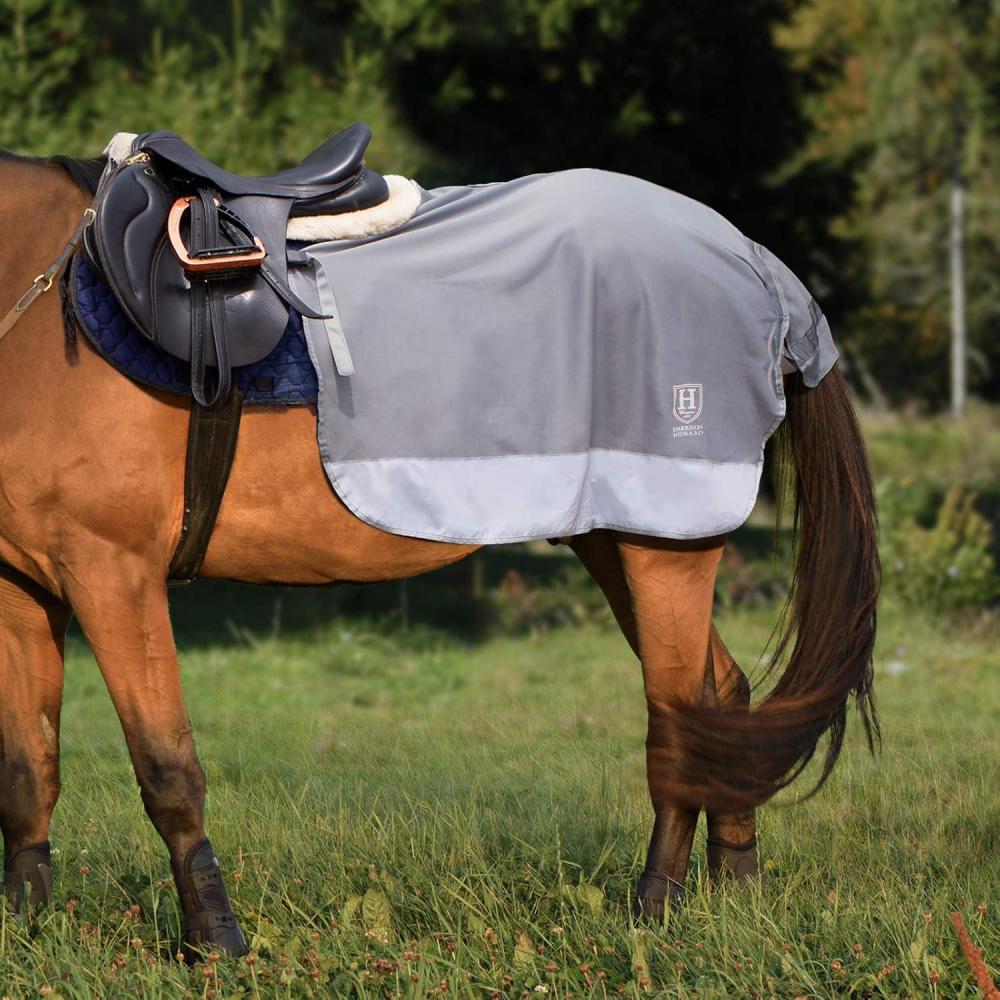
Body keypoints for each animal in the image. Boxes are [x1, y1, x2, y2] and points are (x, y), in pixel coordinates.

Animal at [0, 149, 879, 957]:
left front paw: (214, 939)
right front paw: (26, 923)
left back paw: (654, 908)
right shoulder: (23, 588)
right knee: (724, 698)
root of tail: (752, 261)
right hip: (614, 537)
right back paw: (737, 889)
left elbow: (166, 768)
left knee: (679, 714)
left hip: (665, 542)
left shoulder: (113, 571)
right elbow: (28, 766)